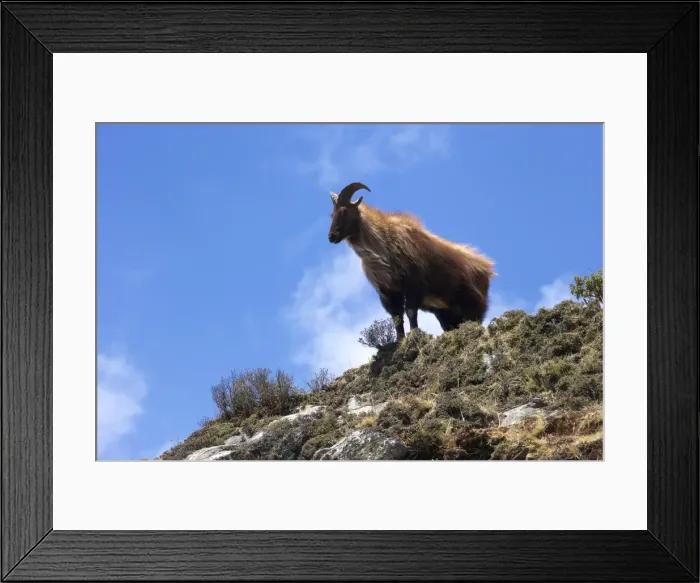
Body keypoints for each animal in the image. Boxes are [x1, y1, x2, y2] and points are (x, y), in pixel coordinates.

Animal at [327, 182, 496, 340]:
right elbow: (396, 317)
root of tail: (487, 269)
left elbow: (410, 312)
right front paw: (400, 339)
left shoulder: (414, 284)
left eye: (343, 211)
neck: (383, 246)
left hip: (473, 304)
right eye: (332, 214)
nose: (331, 236)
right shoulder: (388, 292)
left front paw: (414, 334)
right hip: (446, 313)